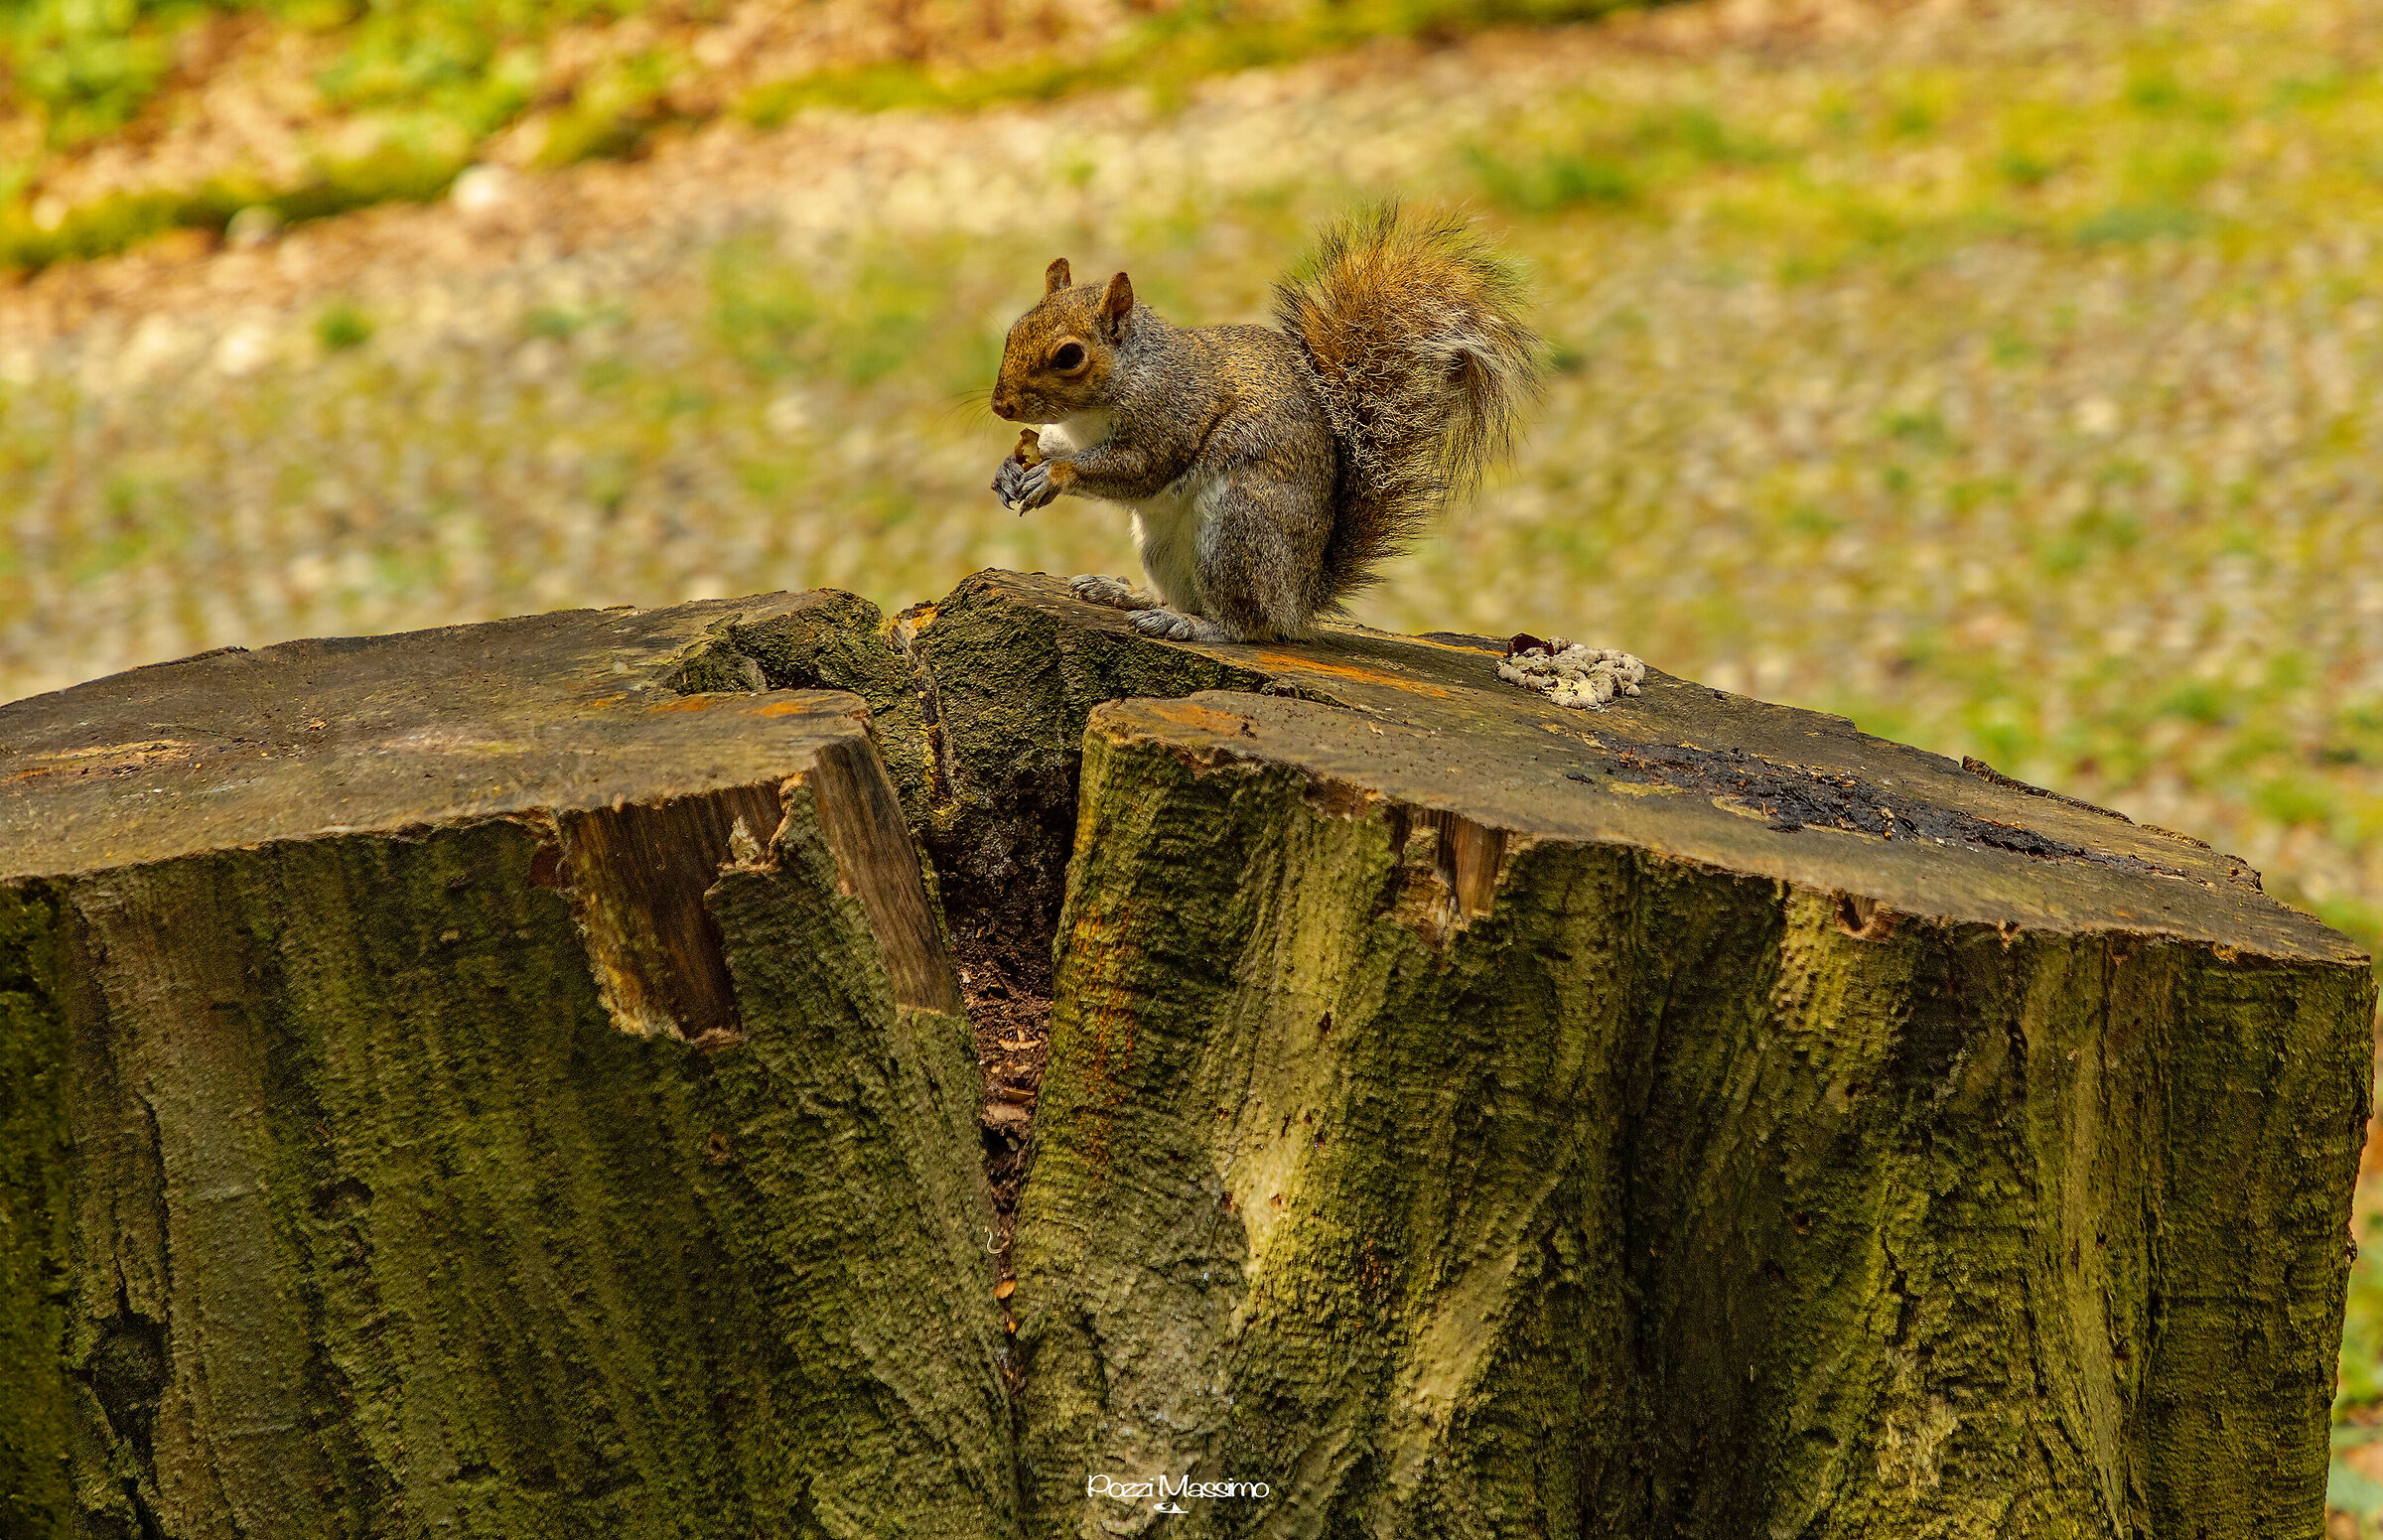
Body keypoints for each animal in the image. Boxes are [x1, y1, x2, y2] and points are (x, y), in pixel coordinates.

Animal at [989, 203, 1542, 643]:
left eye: (1069, 356)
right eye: (1014, 329)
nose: (1001, 406)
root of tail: (1299, 597)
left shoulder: (1172, 418)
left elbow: (1136, 469)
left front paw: (1051, 476)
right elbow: (1052, 443)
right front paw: (1012, 469)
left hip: (1238, 528)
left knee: (1247, 626)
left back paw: (1188, 624)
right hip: (1163, 547)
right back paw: (1126, 595)